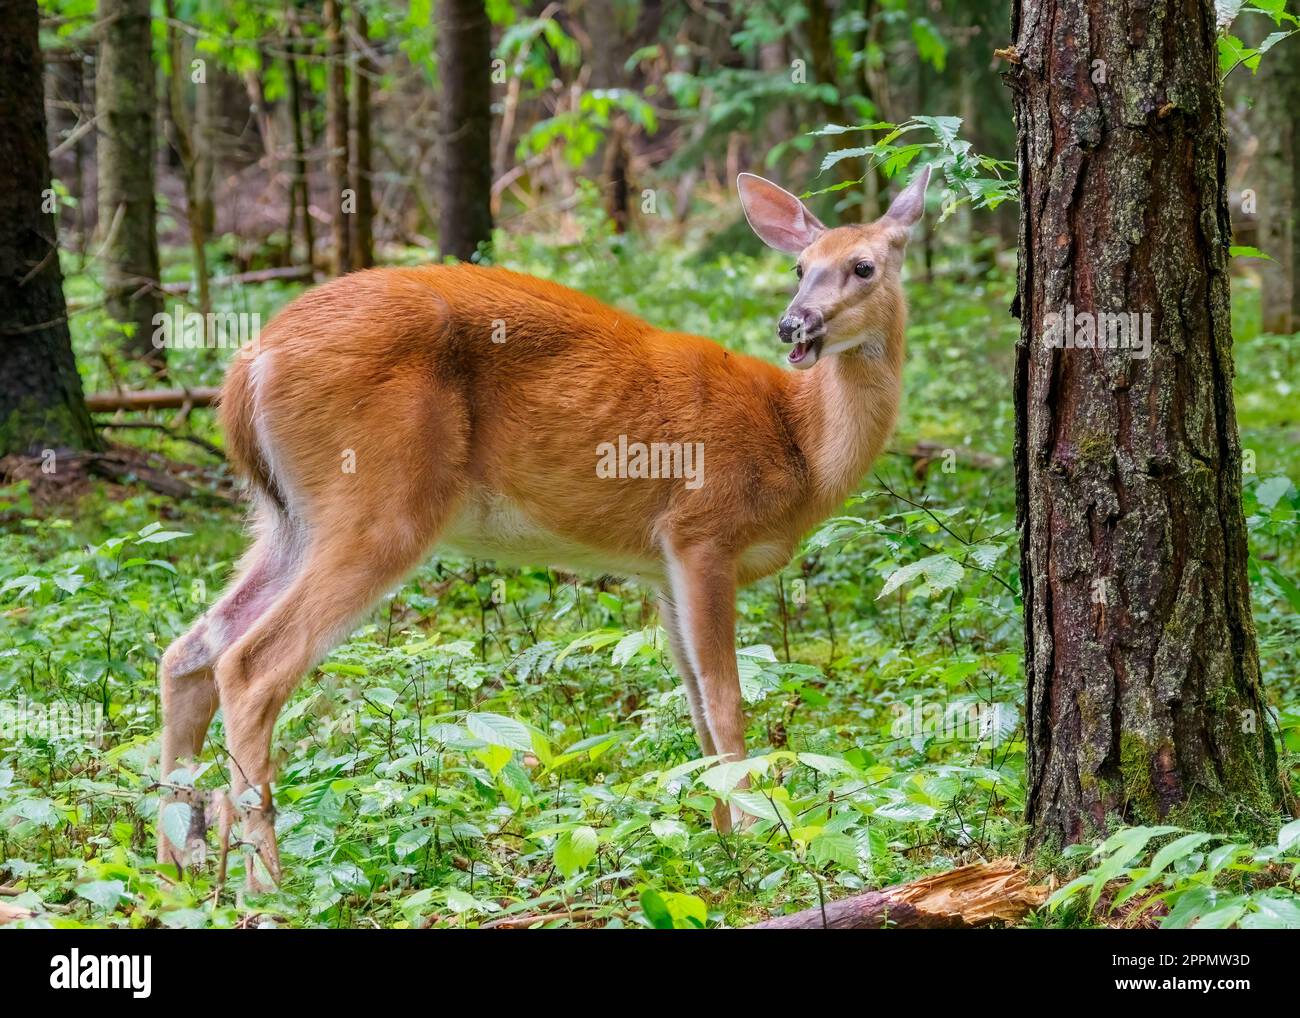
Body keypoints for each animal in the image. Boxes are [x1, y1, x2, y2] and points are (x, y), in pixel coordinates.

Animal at [159, 165, 935, 884]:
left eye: (863, 266)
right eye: (800, 267)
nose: (794, 324)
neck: (797, 441)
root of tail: (247, 365)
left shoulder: (663, 565)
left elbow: (694, 704)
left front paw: (719, 837)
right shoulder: (702, 530)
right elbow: (726, 697)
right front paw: (755, 832)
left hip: (286, 515)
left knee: (189, 651)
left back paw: (175, 867)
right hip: (378, 504)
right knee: (251, 664)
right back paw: (265, 882)